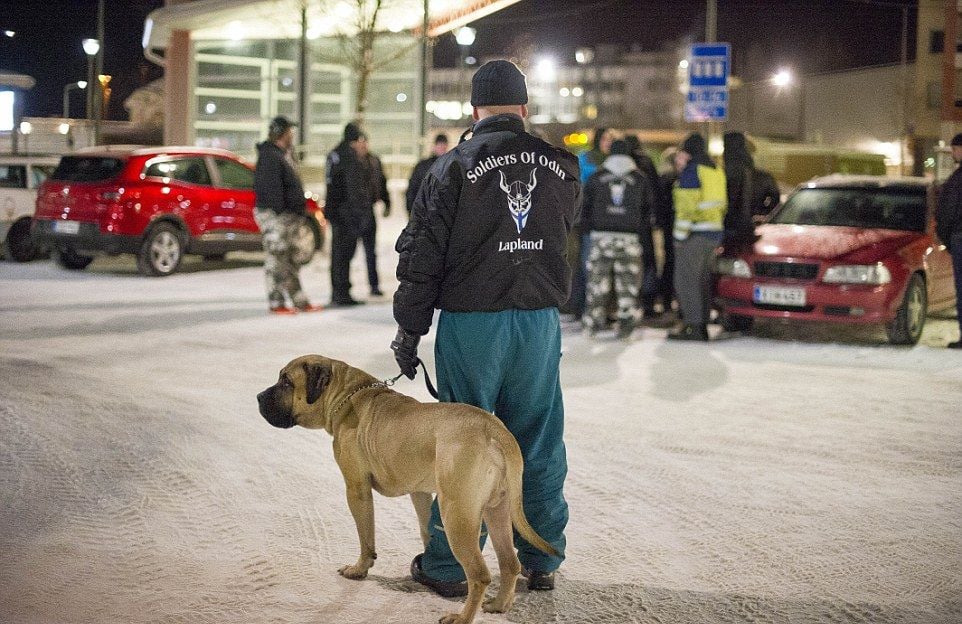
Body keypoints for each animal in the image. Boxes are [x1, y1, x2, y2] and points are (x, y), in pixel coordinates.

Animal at [255, 356, 556, 624]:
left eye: (286, 381)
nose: (258, 397)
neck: (345, 393)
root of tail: (495, 431)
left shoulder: (356, 489)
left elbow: (366, 537)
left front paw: (359, 569)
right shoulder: (419, 492)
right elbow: (424, 528)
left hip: (457, 514)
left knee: (480, 574)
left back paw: (461, 618)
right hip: (497, 511)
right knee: (510, 564)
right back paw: (499, 605)